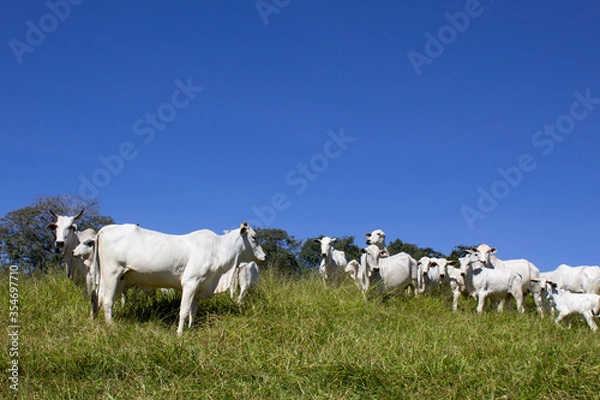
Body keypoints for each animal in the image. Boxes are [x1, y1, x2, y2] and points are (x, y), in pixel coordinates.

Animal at [92, 222, 264, 334]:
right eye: (254, 237)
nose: (264, 256)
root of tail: (104, 229)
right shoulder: (190, 282)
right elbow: (184, 310)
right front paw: (180, 334)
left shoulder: (198, 287)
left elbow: (193, 311)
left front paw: (190, 329)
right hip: (112, 273)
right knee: (107, 301)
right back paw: (111, 326)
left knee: (97, 298)